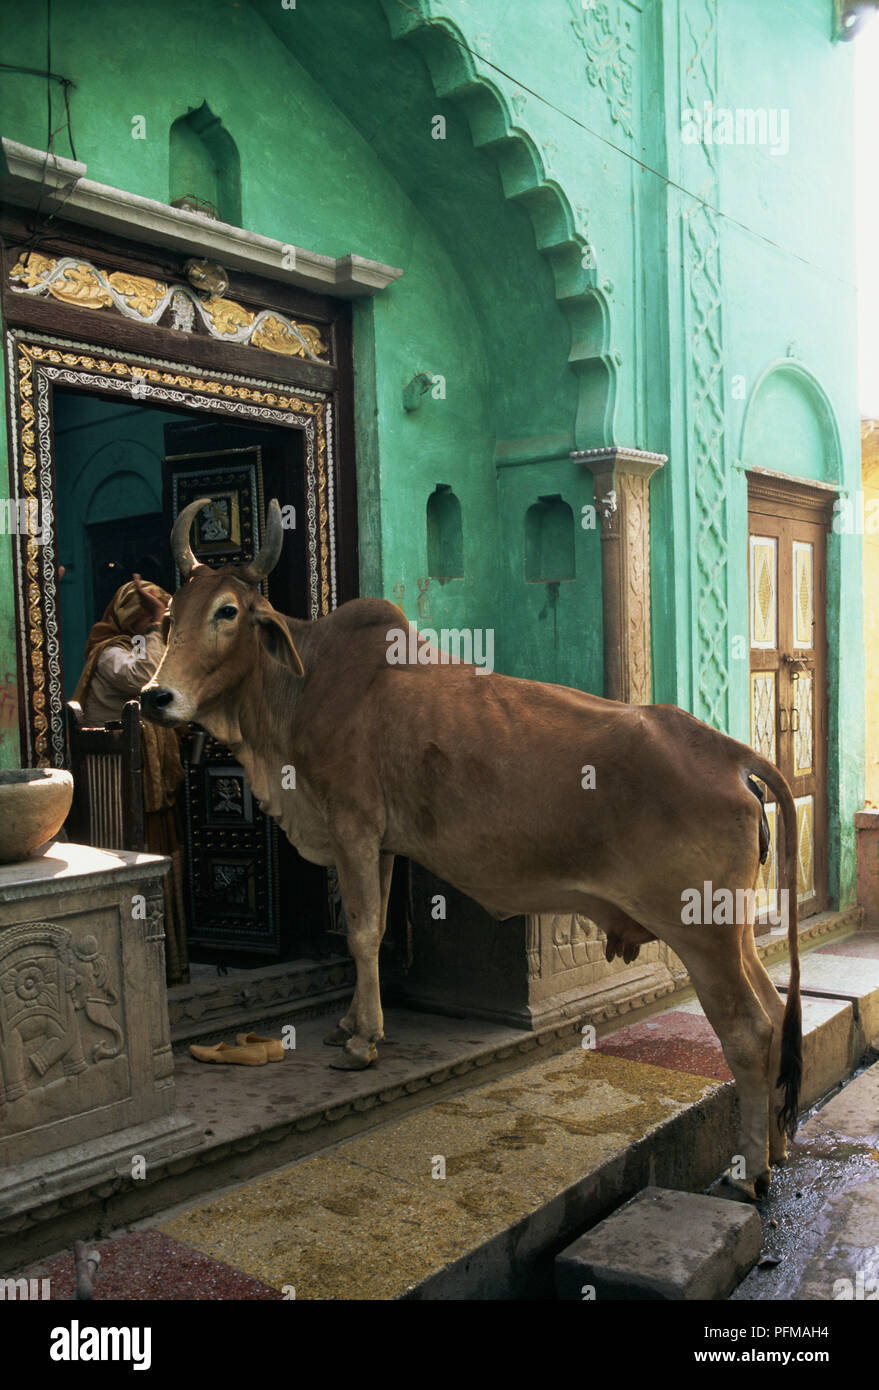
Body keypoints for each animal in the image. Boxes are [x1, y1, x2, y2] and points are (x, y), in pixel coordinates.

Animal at [140, 500, 801, 1206]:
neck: (302, 686)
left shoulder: (352, 825)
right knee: (774, 1011)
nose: (155, 697)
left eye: (227, 611)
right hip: (730, 933)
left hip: (701, 933)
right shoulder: (377, 842)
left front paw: (363, 1042)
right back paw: (776, 1147)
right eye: (170, 617)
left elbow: (362, 934)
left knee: (749, 1031)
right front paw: (350, 1023)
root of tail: (729, 753)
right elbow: (372, 935)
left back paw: (749, 1170)